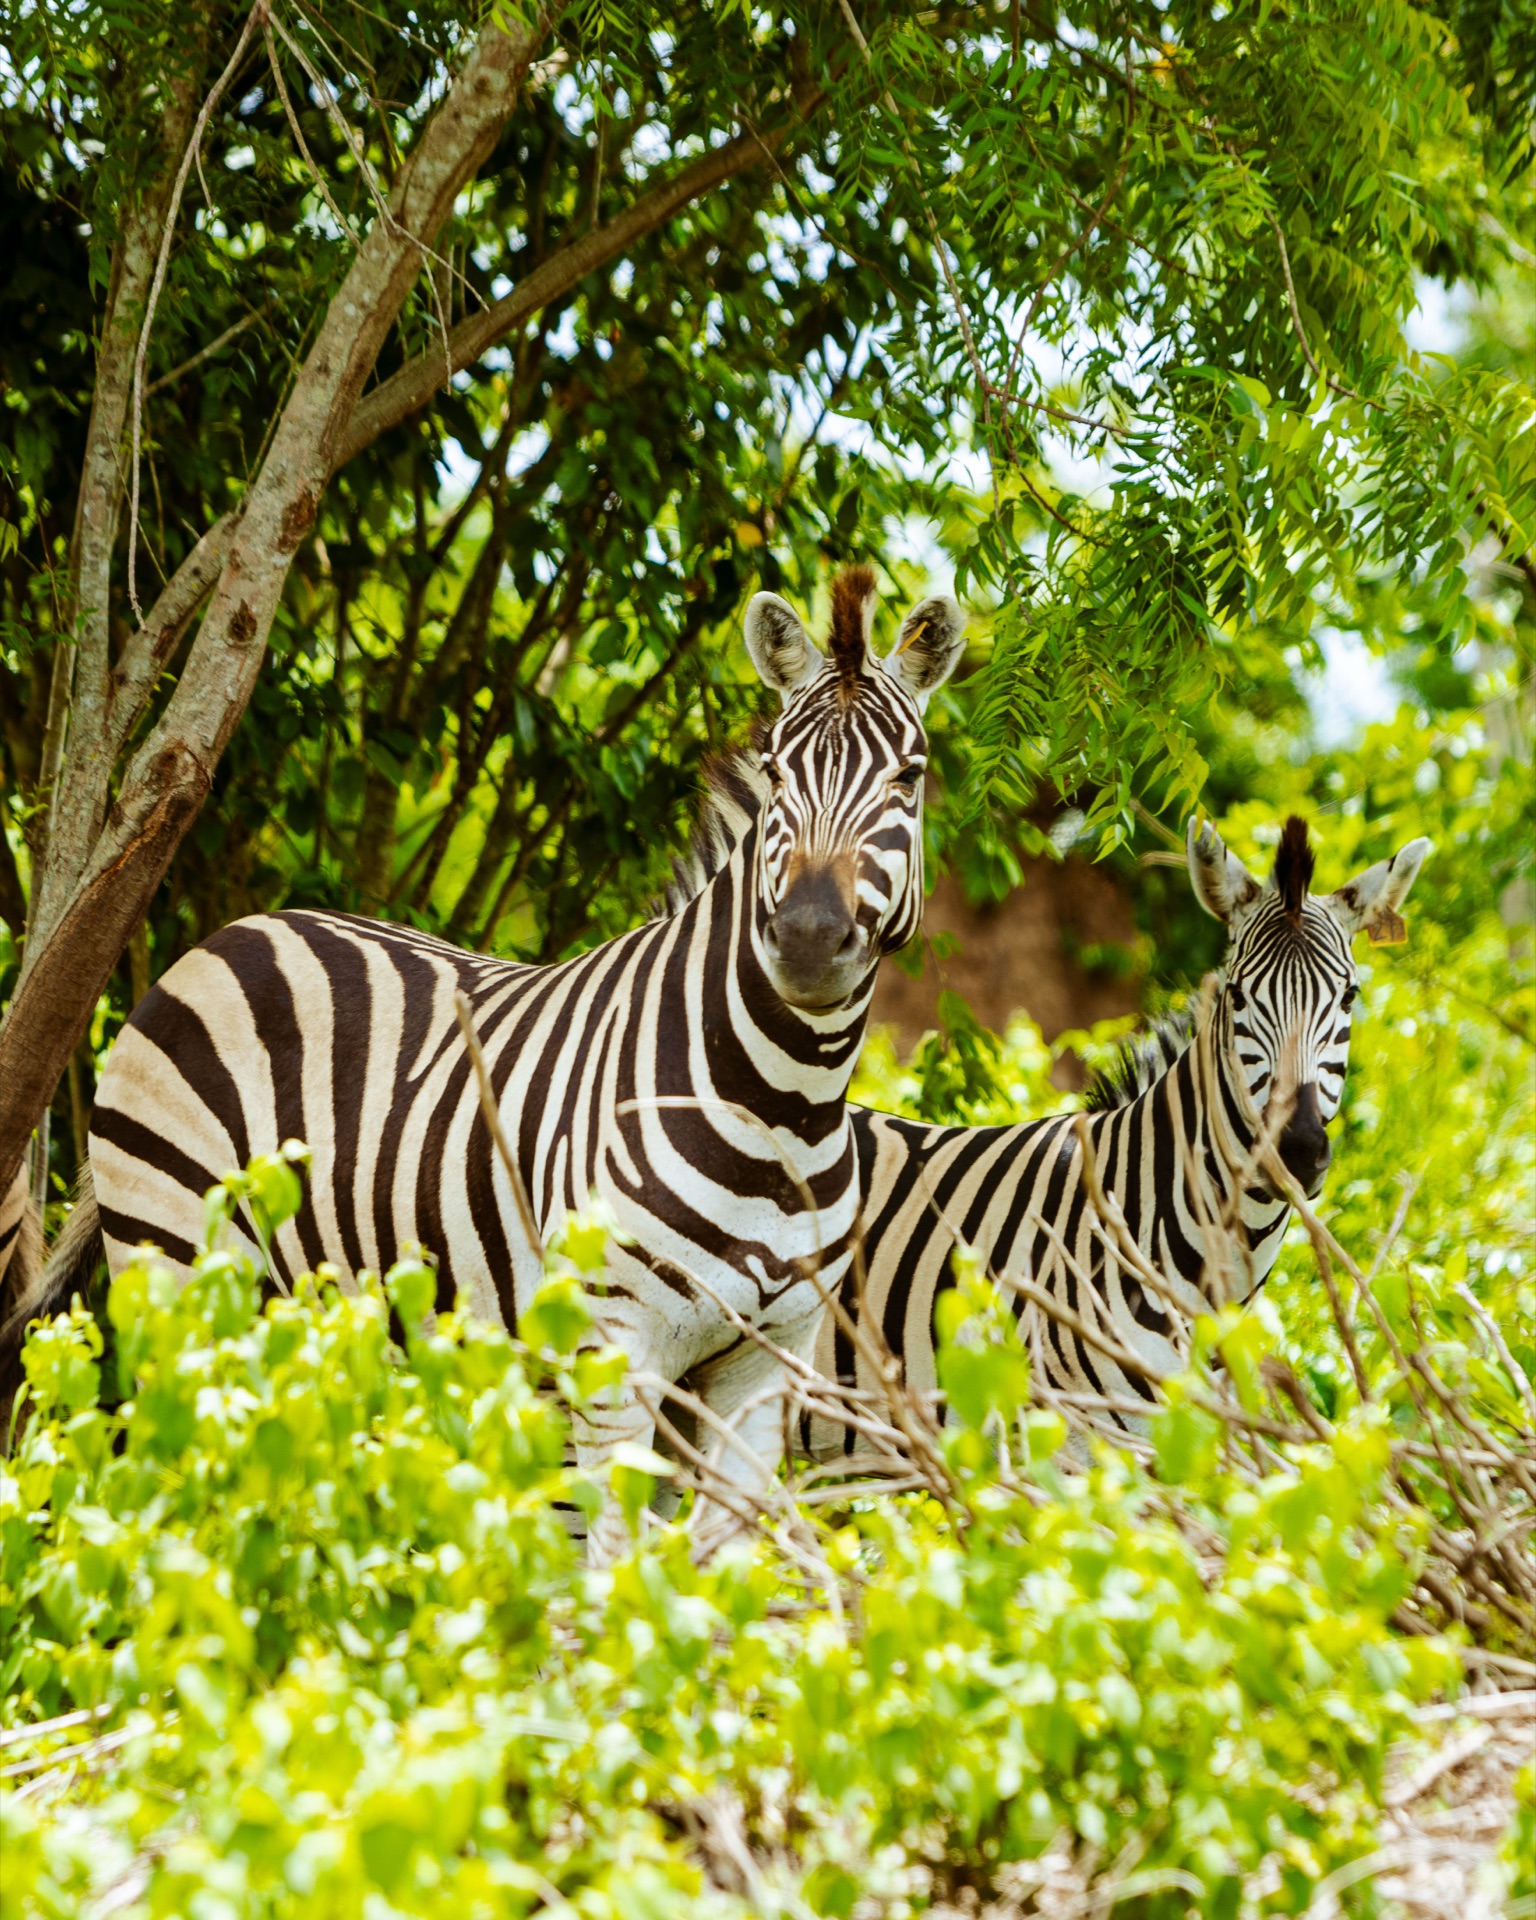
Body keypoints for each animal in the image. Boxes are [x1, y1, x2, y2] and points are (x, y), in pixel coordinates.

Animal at [2, 567, 966, 1556]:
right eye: (775, 772)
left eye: (910, 776)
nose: (808, 939)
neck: (780, 1109)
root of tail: (225, 938)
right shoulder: (615, 1350)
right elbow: (618, 1568)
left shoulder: (764, 1373)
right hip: (179, 1268)